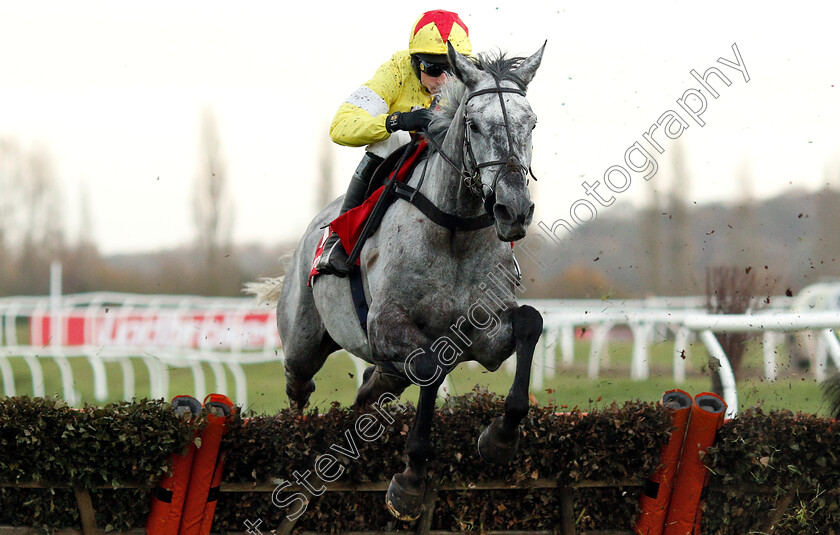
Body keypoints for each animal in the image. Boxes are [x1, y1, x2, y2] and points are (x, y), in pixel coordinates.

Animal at [248, 44, 552, 520]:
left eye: (531, 123)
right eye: (473, 123)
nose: (514, 210)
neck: (454, 231)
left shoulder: (482, 337)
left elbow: (528, 323)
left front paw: (500, 439)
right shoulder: (386, 326)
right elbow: (432, 365)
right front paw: (410, 480)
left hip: (388, 369)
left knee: (368, 394)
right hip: (302, 342)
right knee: (299, 385)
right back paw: (294, 446)